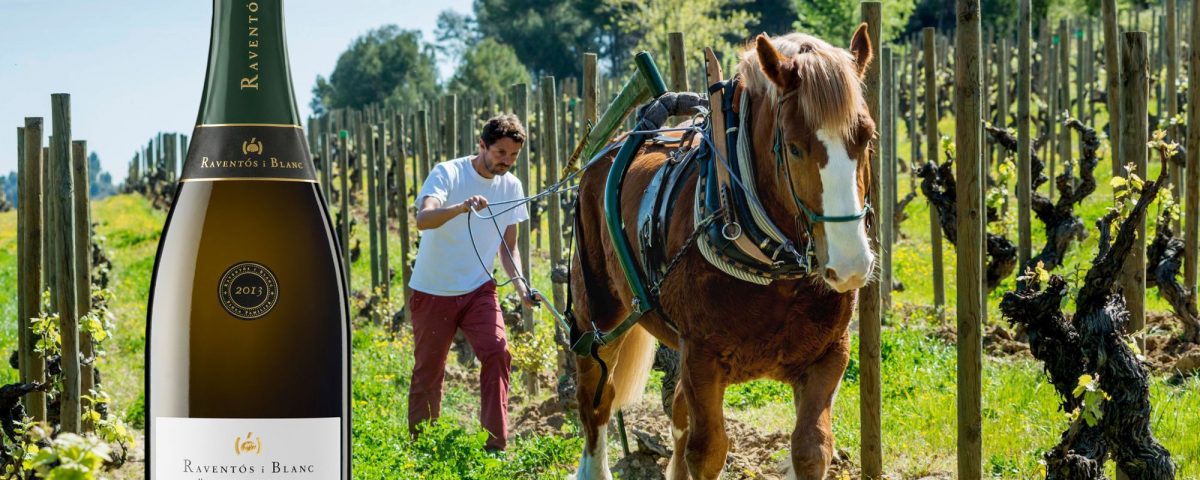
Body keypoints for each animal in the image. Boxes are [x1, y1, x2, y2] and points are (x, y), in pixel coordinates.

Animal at [566, 27, 878, 480]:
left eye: (866, 138)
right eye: (795, 147)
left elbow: (811, 449)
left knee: (677, 411)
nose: (851, 263)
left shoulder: (829, 355)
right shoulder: (702, 359)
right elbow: (708, 452)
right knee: (596, 400)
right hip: (599, 314)